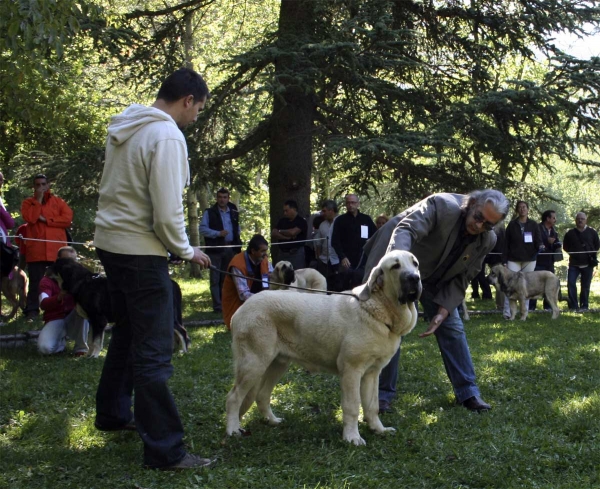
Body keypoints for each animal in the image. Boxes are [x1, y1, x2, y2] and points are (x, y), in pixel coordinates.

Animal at [51, 260, 192, 358]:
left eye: (55, 265)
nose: (47, 267)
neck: (82, 283)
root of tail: (173, 283)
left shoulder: (99, 320)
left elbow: (96, 341)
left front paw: (94, 356)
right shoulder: (93, 321)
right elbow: (92, 341)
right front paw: (90, 355)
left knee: (182, 331)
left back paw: (183, 351)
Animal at [226, 250, 422, 444]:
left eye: (415, 264)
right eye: (395, 266)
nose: (414, 277)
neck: (380, 309)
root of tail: (242, 309)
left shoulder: (372, 373)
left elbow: (372, 405)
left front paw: (379, 429)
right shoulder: (351, 370)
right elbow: (352, 405)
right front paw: (352, 437)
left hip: (277, 364)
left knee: (262, 394)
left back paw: (272, 420)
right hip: (254, 363)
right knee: (234, 397)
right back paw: (233, 430)